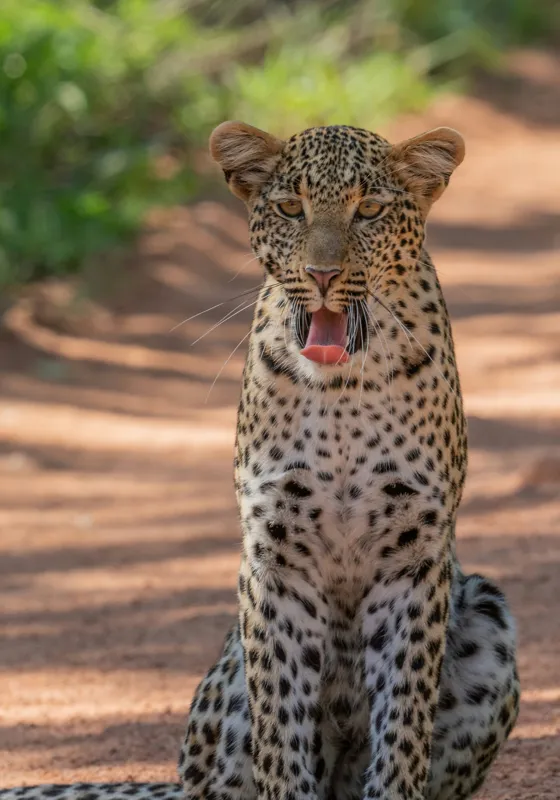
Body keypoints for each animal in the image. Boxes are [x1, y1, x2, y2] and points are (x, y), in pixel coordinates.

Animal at [0, 121, 519, 800]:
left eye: (370, 211)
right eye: (291, 208)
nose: (322, 275)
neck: (341, 390)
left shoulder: (413, 558)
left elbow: (404, 723)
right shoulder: (275, 556)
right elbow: (282, 723)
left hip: (486, 614)